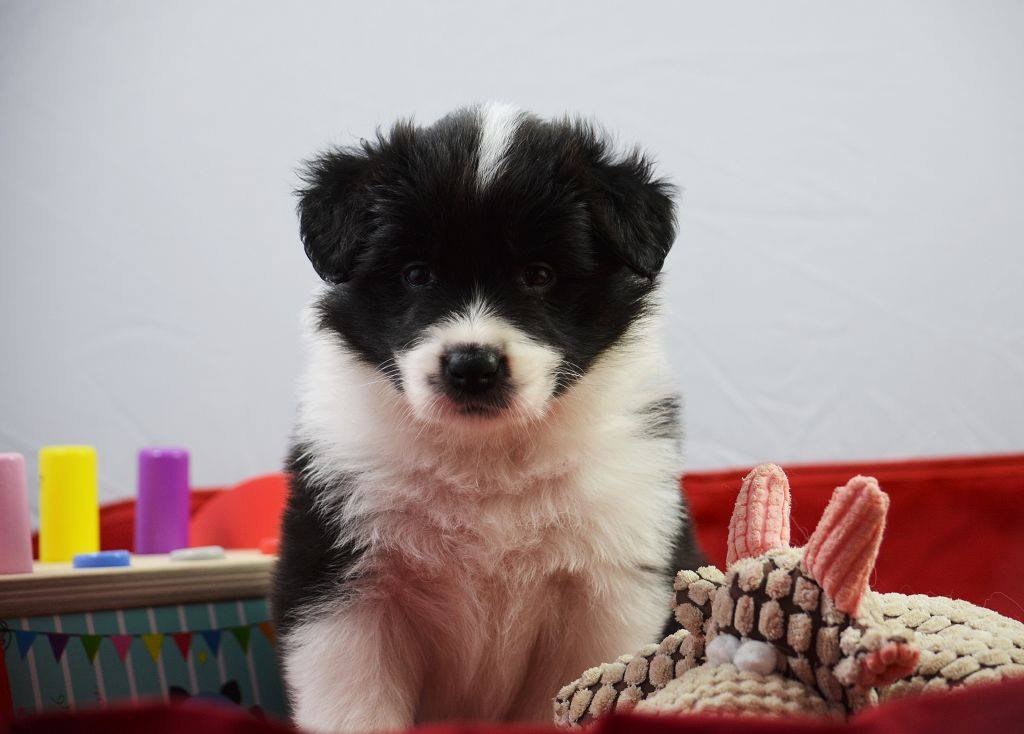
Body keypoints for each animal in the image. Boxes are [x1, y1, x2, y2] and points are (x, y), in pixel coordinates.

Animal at [271, 104, 702, 732]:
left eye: (539, 275)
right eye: (417, 273)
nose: (472, 367)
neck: (486, 458)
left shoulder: (606, 589)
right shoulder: (342, 587)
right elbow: (354, 705)